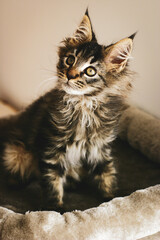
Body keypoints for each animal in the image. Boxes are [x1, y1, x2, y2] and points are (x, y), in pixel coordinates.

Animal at [0, 10, 135, 211]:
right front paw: (57, 210)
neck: (83, 105)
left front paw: (112, 199)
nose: (70, 75)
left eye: (90, 71)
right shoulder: (51, 149)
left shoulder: (100, 149)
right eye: (70, 60)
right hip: (16, 153)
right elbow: (52, 183)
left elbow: (107, 175)